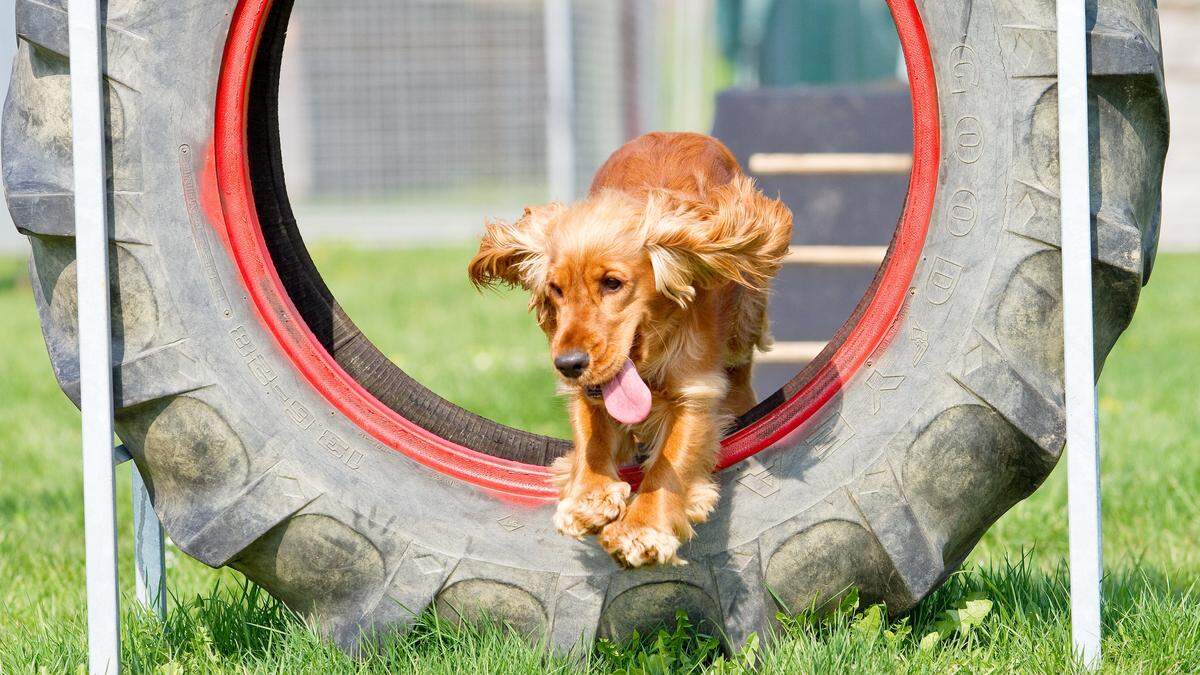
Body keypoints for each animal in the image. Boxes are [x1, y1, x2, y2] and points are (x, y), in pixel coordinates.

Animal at [470, 131, 796, 562]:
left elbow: (672, 458)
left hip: (743, 325)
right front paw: (588, 498)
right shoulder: (587, 387)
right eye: (555, 289)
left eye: (612, 283)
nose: (568, 363)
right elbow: (592, 436)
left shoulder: (694, 388)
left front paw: (643, 528)